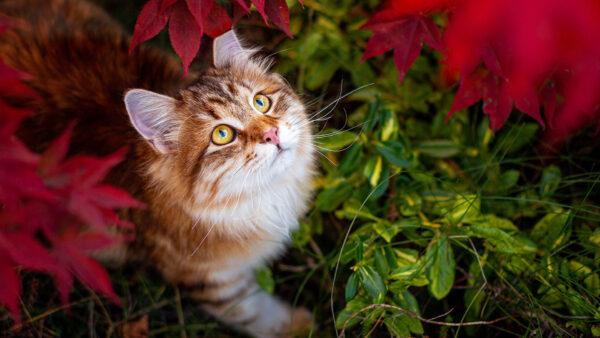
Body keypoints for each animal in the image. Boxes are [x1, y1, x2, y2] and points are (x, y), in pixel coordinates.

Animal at [0, 0, 316, 336]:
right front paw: (297, 325)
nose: (272, 134)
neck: (257, 199)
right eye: (222, 135)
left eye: (260, 102)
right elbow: (253, 310)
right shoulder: (206, 278)